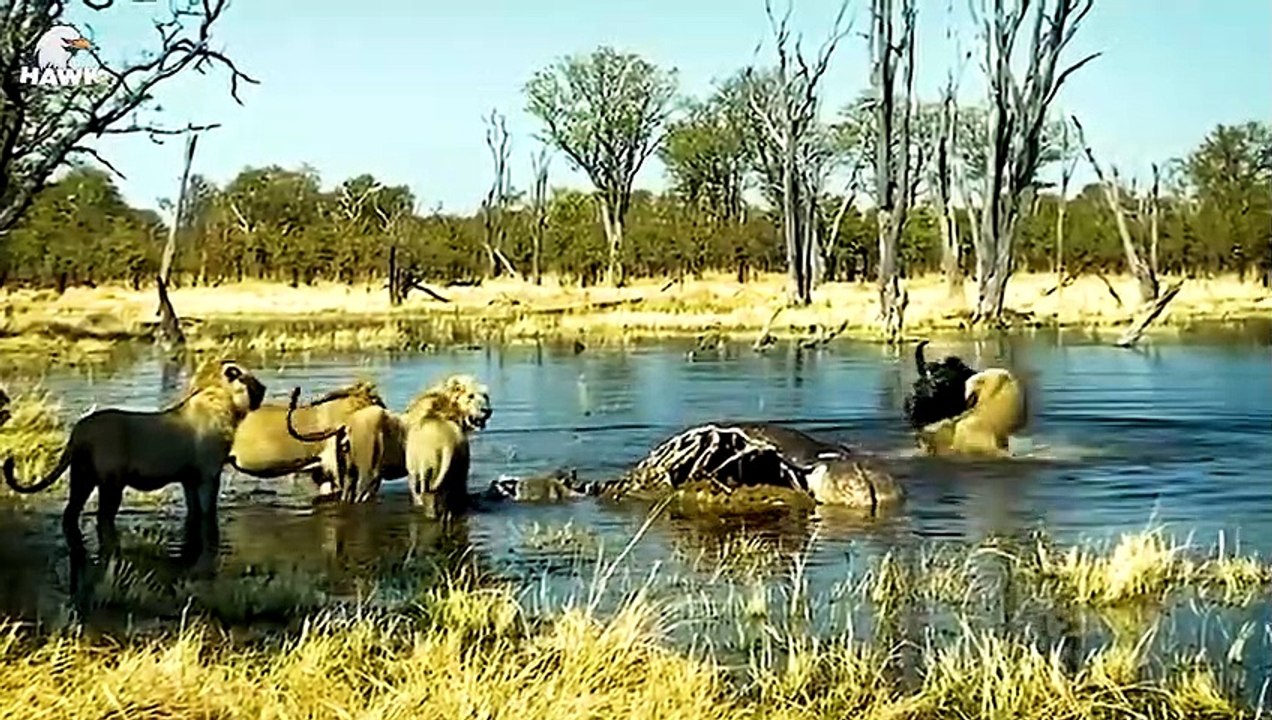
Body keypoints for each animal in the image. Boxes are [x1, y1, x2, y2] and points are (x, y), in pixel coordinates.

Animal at [2, 358, 266, 588]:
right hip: (111, 483)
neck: (221, 401)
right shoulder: (208, 476)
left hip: (82, 479)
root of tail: (80, 430)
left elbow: (194, 514)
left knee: (70, 515)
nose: (263, 390)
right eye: (250, 381)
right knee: (103, 518)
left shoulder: (190, 481)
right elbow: (207, 515)